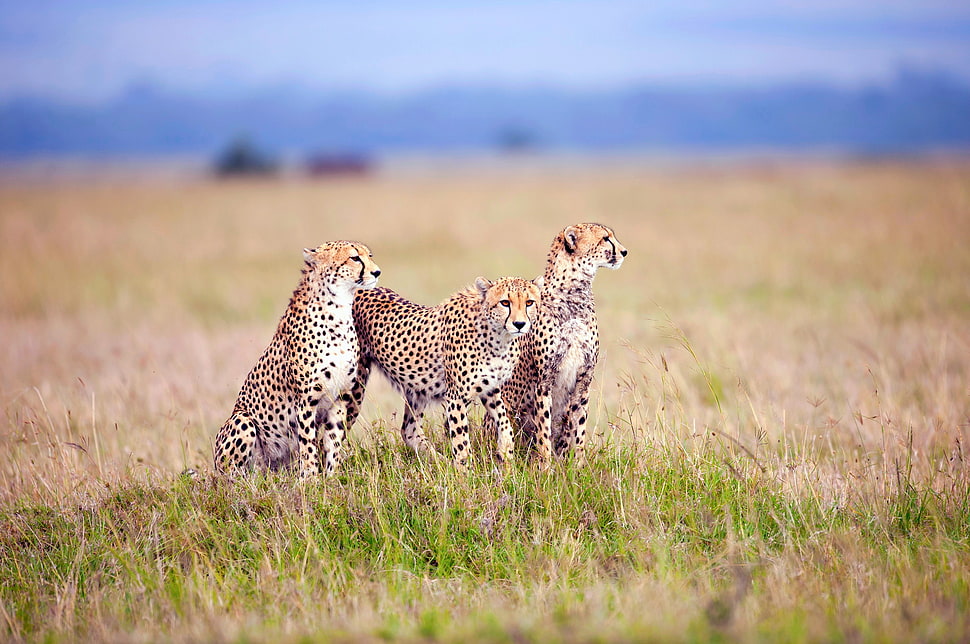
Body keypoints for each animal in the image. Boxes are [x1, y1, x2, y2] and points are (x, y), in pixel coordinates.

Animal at [212, 241, 381, 478]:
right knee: (232, 477)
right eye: (354, 258)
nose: (377, 272)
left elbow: (333, 442)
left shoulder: (339, 398)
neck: (338, 312)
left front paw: (332, 478)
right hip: (242, 420)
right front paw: (310, 480)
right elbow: (308, 444)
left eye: (370, 256)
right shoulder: (306, 400)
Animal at [346, 276, 541, 469]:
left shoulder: (490, 389)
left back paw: (440, 462)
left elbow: (505, 423)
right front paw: (465, 473)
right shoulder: (456, 396)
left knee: (409, 430)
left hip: (417, 389)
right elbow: (462, 442)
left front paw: (506, 455)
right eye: (505, 302)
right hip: (355, 385)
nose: (519, 324)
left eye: (529, 302)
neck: (498, 336)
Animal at [498, 223, 626, 465]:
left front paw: (578, 466)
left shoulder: (584, 378)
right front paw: (545, 467)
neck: (574, 294)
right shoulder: (544, 381)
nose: (624, 252)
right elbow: (544, 429)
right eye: (605, 238)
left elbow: (579, 427)